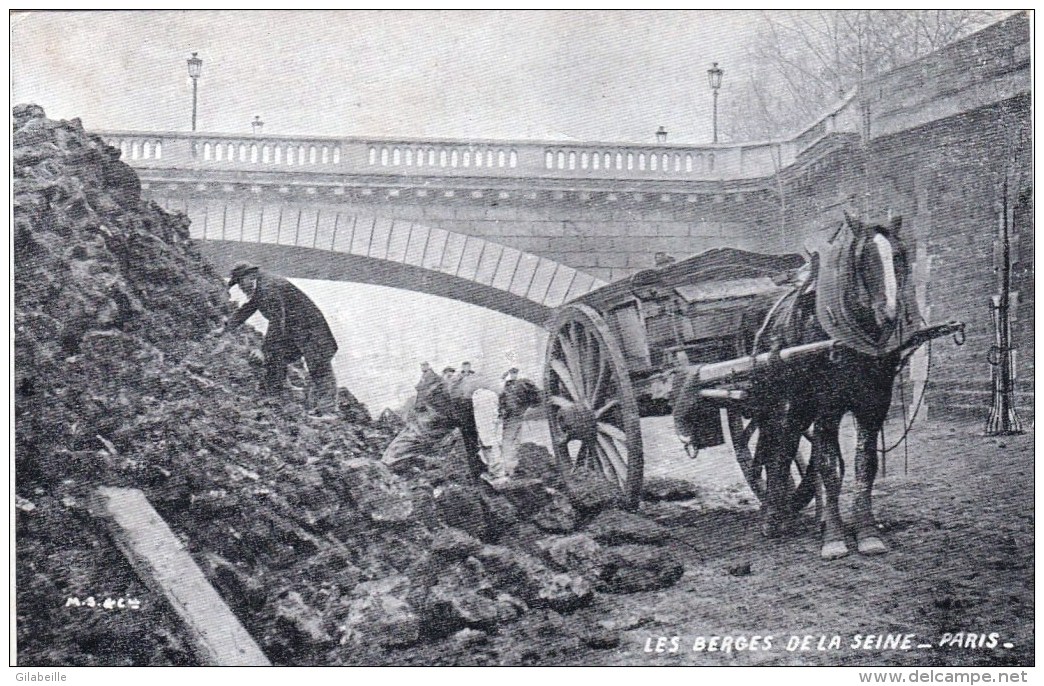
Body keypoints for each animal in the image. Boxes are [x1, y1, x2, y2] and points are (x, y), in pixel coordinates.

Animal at [751, 210, 914, 559]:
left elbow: (864, 464)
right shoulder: (827, 407)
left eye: (897, 256)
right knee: (775, 448)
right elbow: (828, 467)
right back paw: (773, 515)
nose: (889, 314)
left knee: (786, 447)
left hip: (798, 407)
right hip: (777, 404)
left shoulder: (874, 404)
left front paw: (867, 532)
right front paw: (835, 538)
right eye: (864, 258)